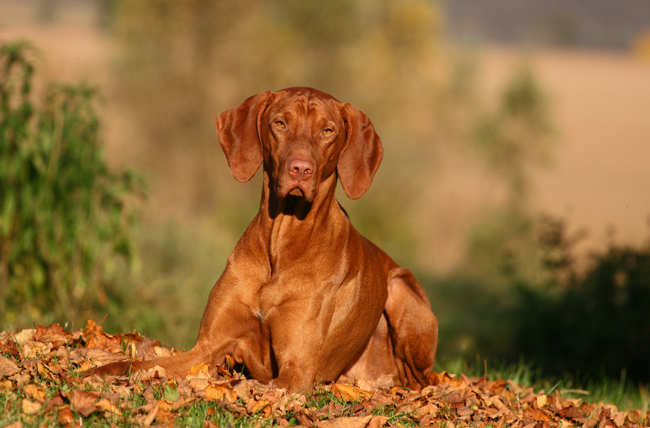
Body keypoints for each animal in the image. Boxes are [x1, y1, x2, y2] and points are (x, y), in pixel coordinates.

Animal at [90, 88, 436, 394]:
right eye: (280, 123)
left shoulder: (296, 371)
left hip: (401, 287)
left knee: (420, 380)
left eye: (327, 131)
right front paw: (96, 372)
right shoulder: (207, 347)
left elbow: (253, 384)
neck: (280, 243)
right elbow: (137, 365)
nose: (300, 169)